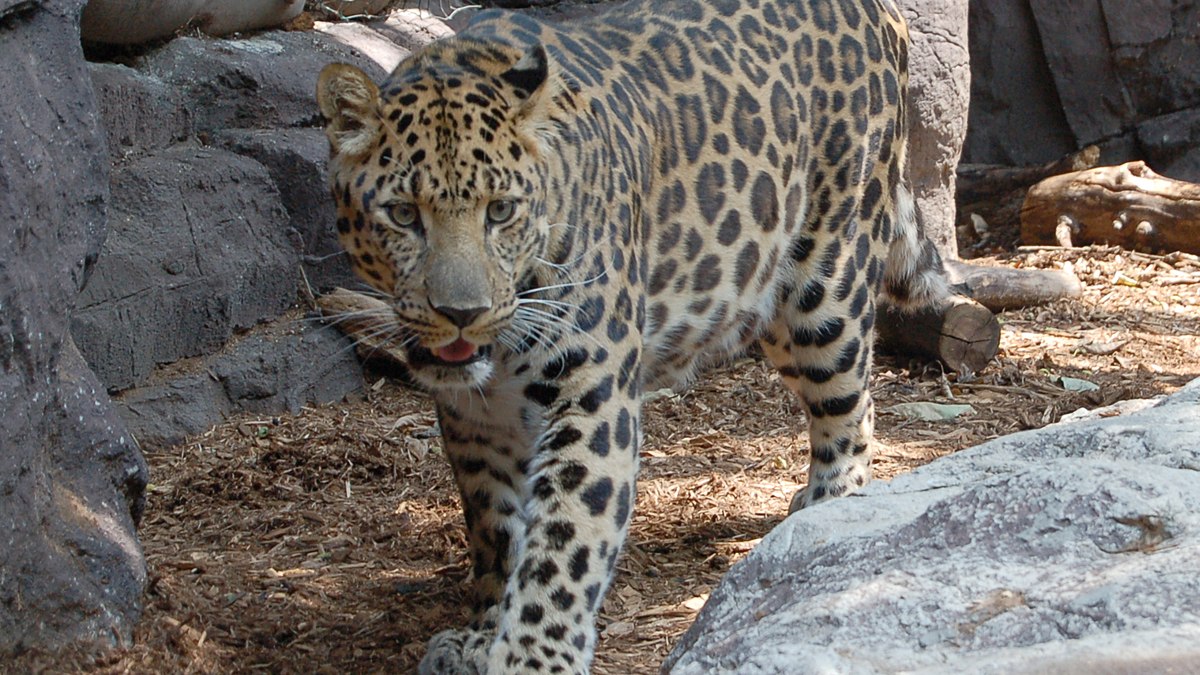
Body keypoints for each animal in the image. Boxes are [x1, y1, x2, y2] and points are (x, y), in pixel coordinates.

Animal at [316, 0, 951, 671]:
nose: (463, 313)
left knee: (852, 402)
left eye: (500, 211)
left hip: (825, 279)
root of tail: (884, 13)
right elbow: (496, 525)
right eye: (403, 215)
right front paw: (483, 633)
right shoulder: (475, 418)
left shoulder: (591, 389)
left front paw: (535, 655)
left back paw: (829, 510)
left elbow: (567, 534)